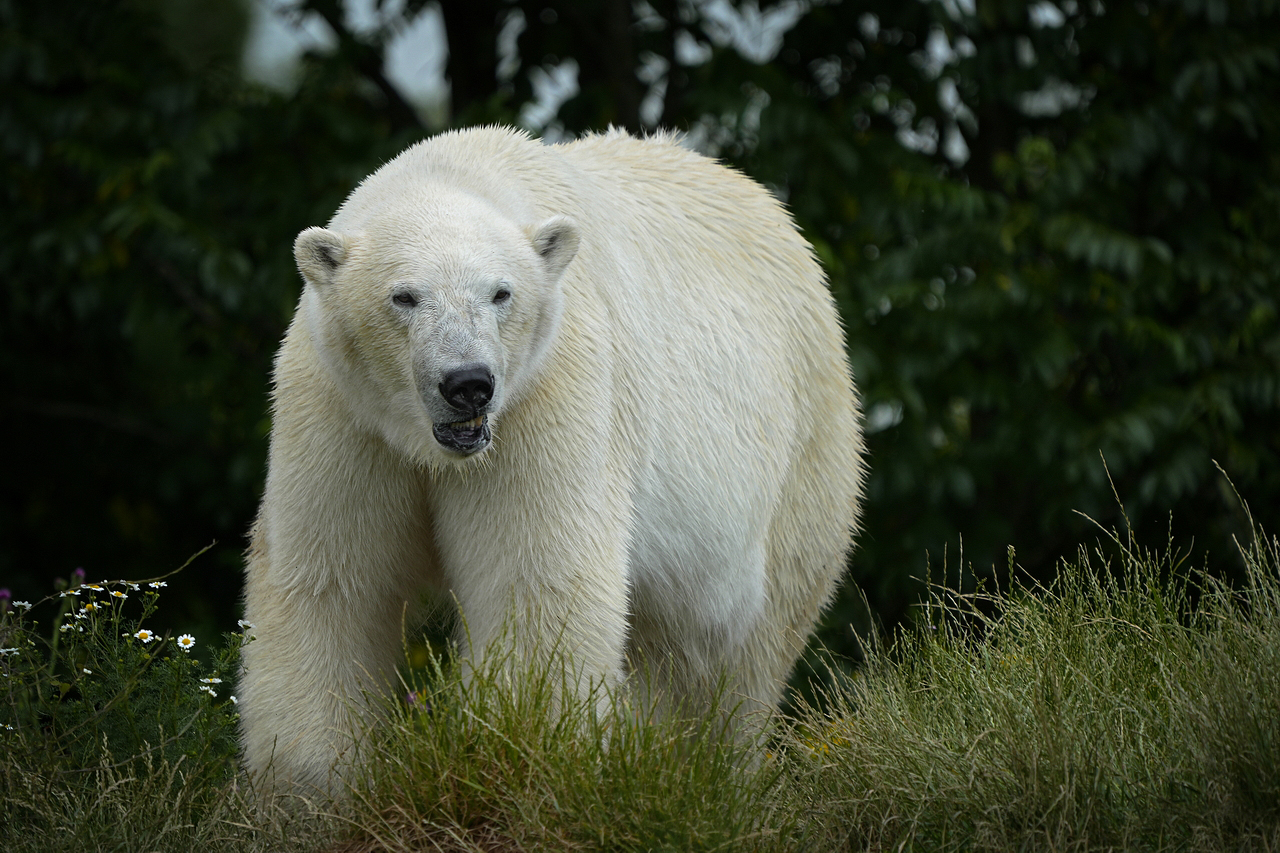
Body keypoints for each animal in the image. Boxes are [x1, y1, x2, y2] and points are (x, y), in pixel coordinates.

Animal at [236, 126, 865, 788]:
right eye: (404, 297)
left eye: (500, 293)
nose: (468, 383)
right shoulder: (345, 410)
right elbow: (332, 578)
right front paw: (310, 783)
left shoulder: (547, 388)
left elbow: (535, 577)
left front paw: (515, 761)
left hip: (800, 455)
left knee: (744, 651)